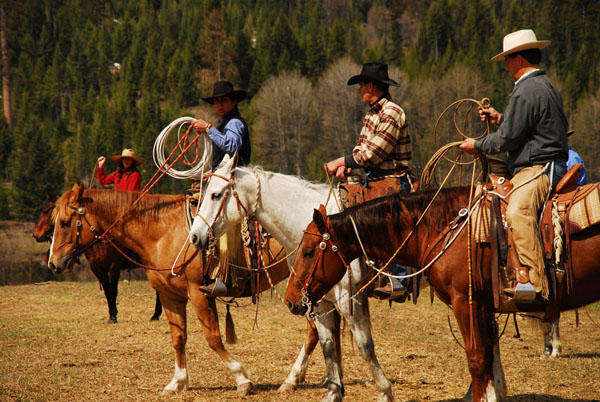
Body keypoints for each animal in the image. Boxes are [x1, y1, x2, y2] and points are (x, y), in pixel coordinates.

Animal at [33, 192, 163, 324]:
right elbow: (107, 291)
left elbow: (113, 290)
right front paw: (112, 314)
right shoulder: (97, 268)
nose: (36, 234)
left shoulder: (114, 267)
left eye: (46, 211)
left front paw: (113, 316)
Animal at [46, 185, 326, 396]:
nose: (53, 263)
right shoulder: (170, 296)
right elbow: (178, 338)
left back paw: (292, 378)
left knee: (314, 328)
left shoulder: (198, 293)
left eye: (65, 222)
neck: (162, 231)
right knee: (315, 329)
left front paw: (242, 379)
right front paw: (177, 382)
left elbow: (213, 338)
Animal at [188, 155, 394, 402]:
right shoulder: (319, 300)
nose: (194, 236)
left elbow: (365, 345)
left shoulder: (349, 299)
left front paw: (384, 391)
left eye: (216, 195)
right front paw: (334, 391)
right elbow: (328, 345)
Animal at [288, 188, 600, 402]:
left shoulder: (466, 303)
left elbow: (477, 361)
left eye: (308, 251)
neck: (443, 230)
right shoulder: (484, 307)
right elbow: (489, 363)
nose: (291, 299)